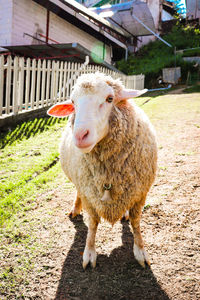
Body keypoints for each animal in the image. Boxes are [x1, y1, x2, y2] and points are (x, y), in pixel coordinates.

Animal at [47, 72, 157, 270]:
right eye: (73, 101)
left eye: (110, 99)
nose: (80, 135)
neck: (109, 173)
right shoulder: (89, 194)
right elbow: (93, 223)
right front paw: (89, 252)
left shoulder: (140, 193)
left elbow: (136, 222)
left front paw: (140, 251)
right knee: (78, 192)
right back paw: (75, 209)